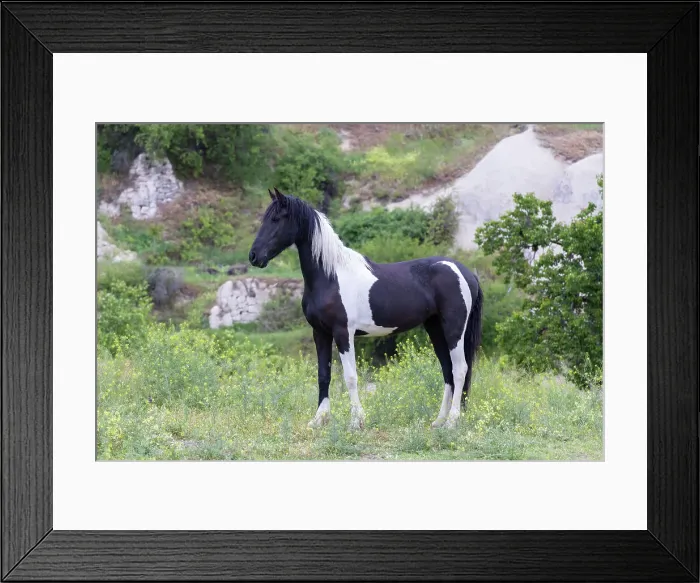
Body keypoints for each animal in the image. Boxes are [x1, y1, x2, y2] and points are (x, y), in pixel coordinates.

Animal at [249, 188, 483, 431]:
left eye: (276, 219)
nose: (254, 256)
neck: (330, 276)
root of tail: (466, 272)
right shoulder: (320, 333)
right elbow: (323, 374)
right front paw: (319, 419)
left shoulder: (343, 333)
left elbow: (351, 377)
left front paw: (356, 421)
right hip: (435, 328)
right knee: (447, 369)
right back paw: (439, 421)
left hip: (454, 329)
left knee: (460, 370)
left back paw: (452, 422)